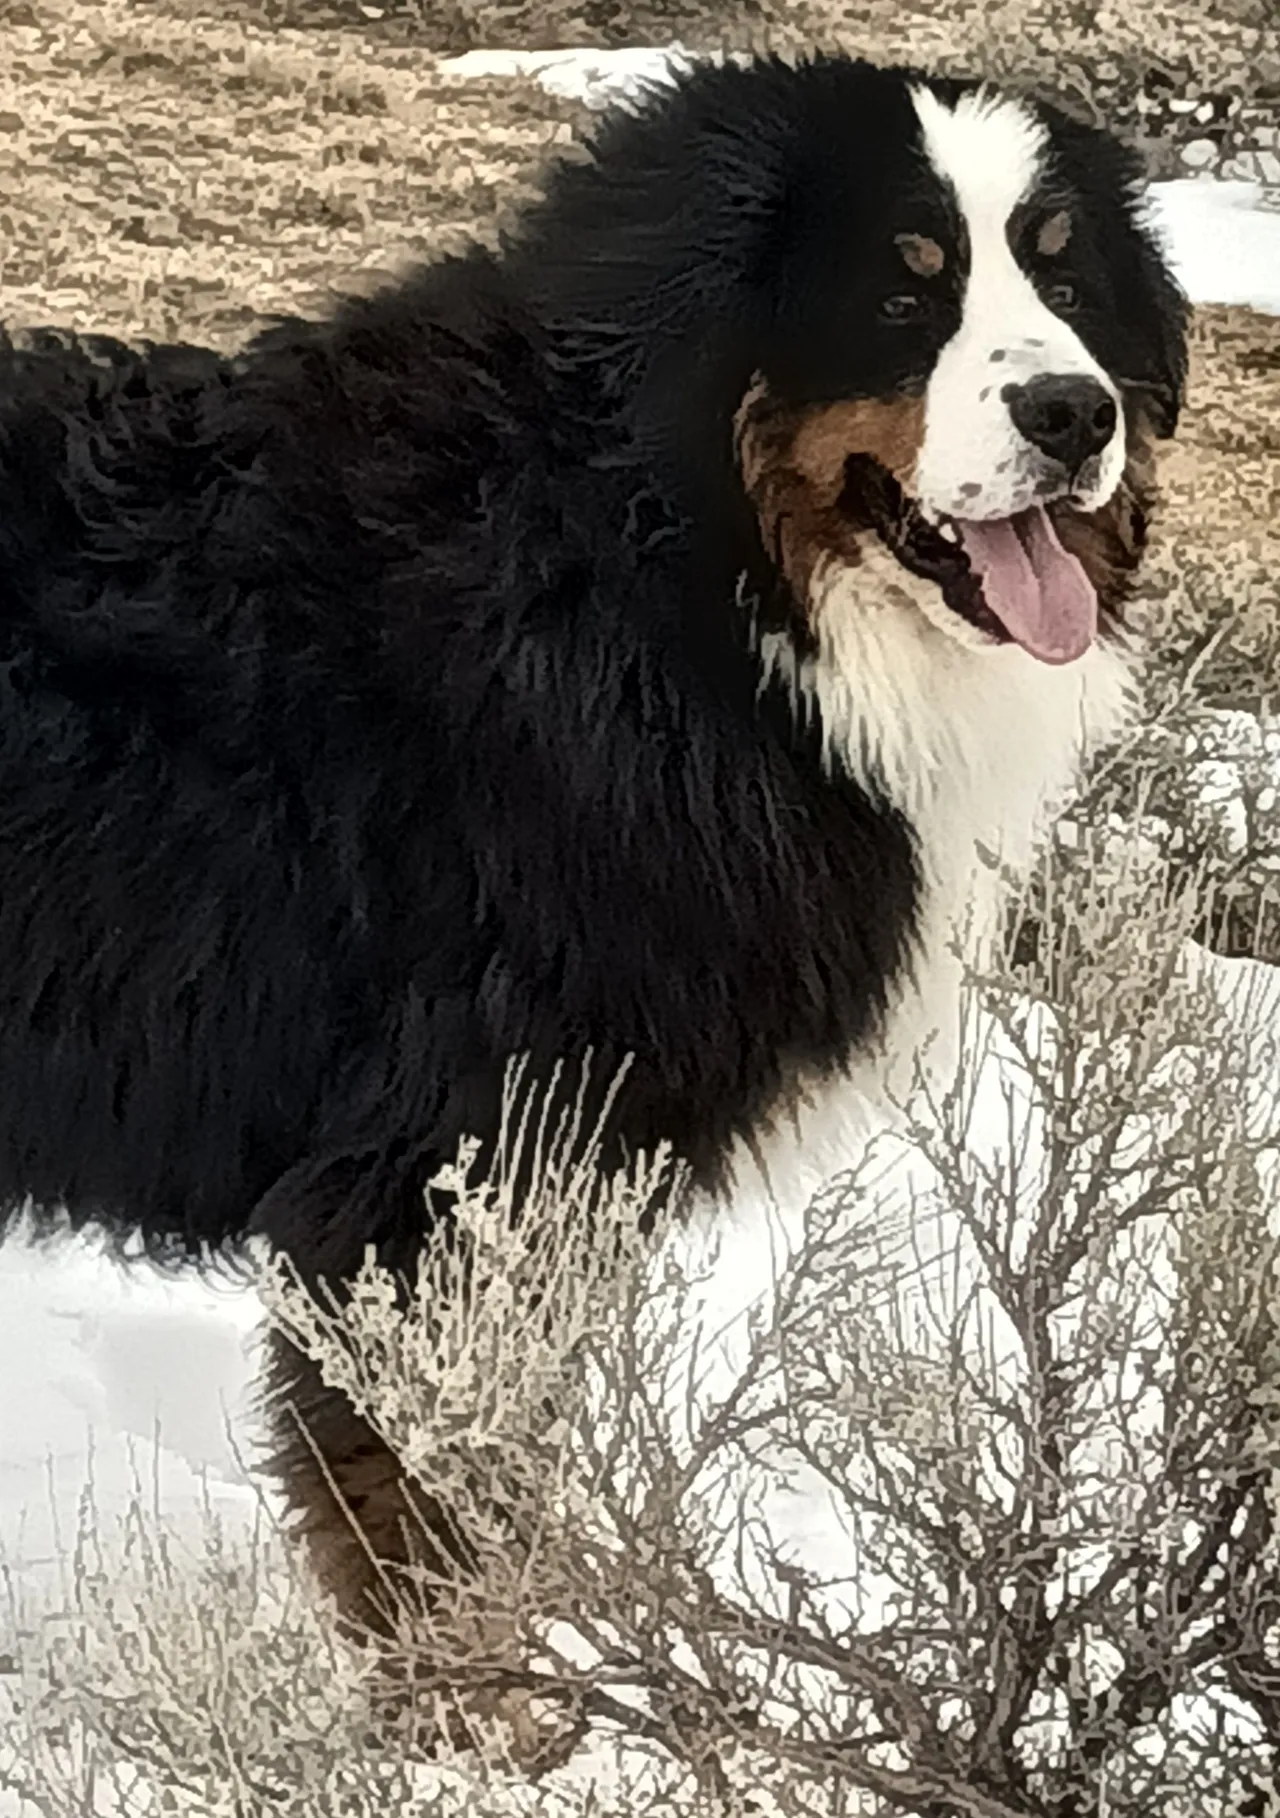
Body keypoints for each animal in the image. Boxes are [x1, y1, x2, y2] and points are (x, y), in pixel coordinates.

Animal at [0, 56, 1185, 1643]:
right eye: (901, 289)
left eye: (1065, 275)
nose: (1072, 409)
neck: (663, 573)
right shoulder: (447, 1177)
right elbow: (437, 1537)